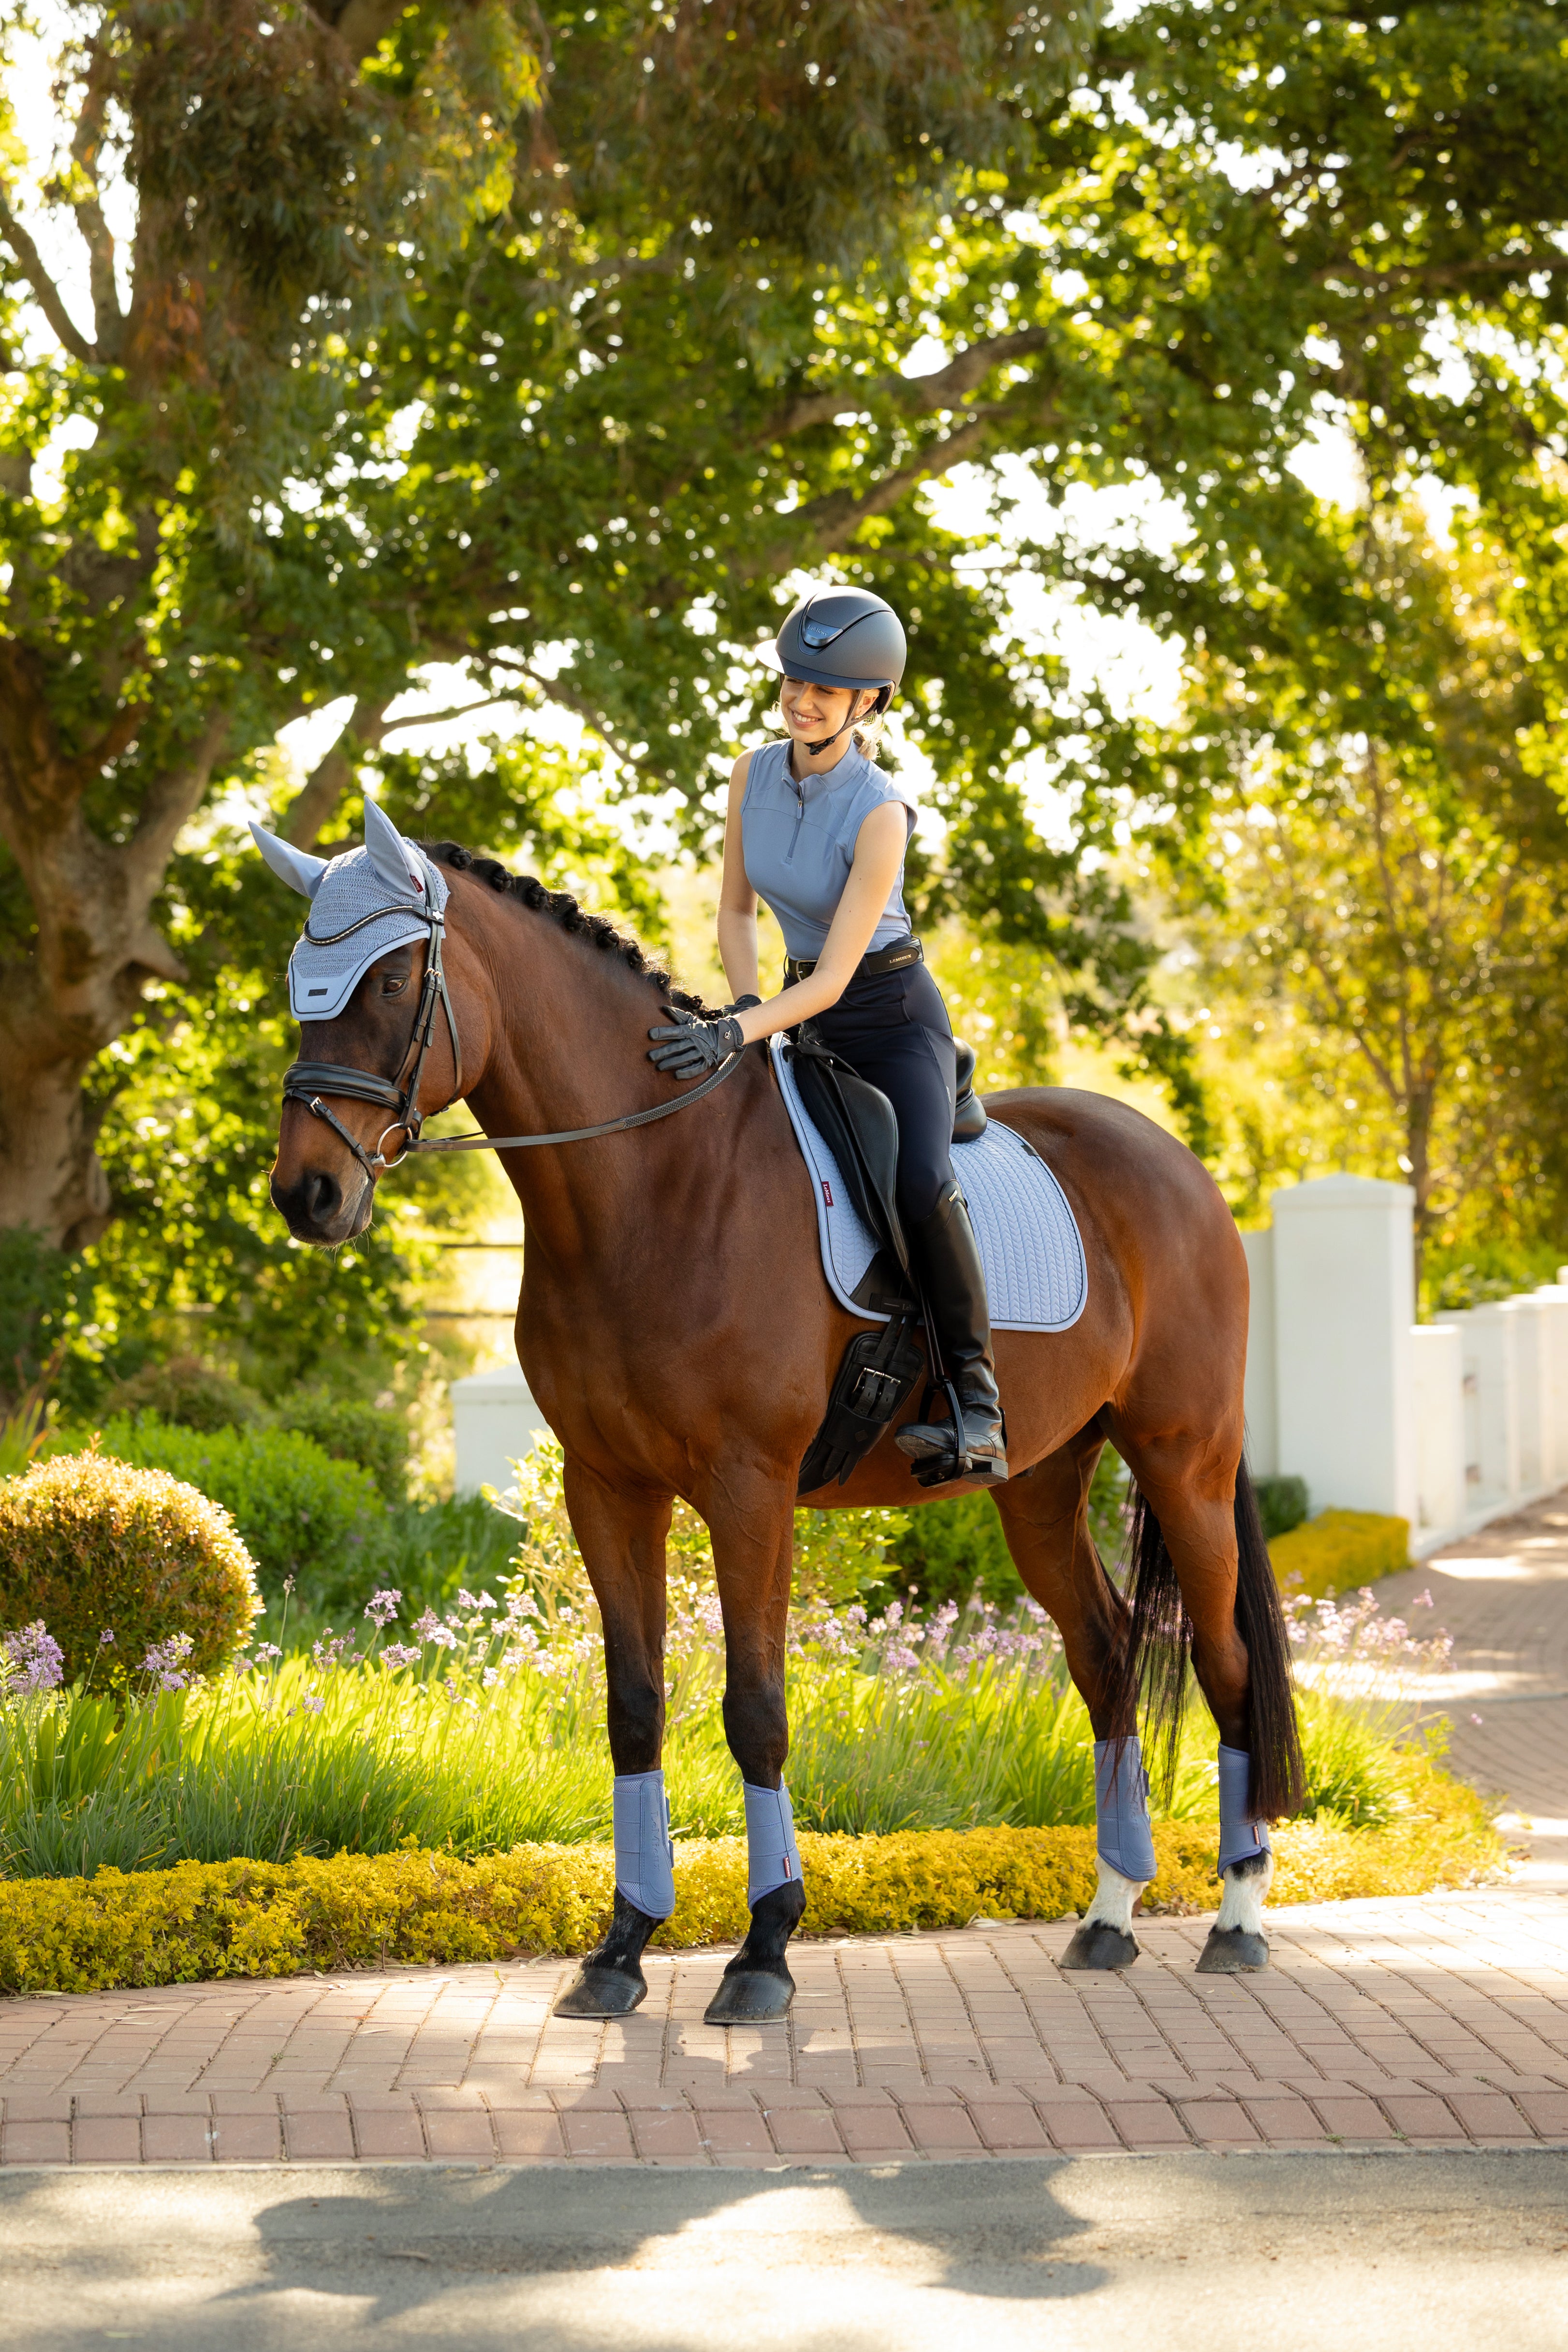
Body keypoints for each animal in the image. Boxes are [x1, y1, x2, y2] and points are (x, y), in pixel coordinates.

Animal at [264, 833, 1303, 2018]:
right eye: (299, 980)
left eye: (392, 981)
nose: (307, 1192)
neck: (652, 1185)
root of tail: (1177, 1164)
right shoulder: (606, 1485)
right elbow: (633, 1705)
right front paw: (621, 1947)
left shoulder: (748, 1486)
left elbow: (754, 1707)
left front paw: (763, 1948)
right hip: (1039, 1483)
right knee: (1104, 1657)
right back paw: (1108, 1915)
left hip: (1183, 1459)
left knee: (1226, 1662)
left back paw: (1236, 1916)